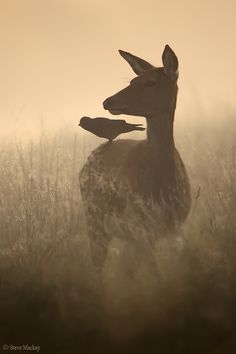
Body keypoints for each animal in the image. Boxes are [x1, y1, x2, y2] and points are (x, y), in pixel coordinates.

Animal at [79, 45, 192, 268]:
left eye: (151, 82)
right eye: (132, 80)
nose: (108, 101)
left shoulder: (174, 225)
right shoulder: (140, 227)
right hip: (94, 221)